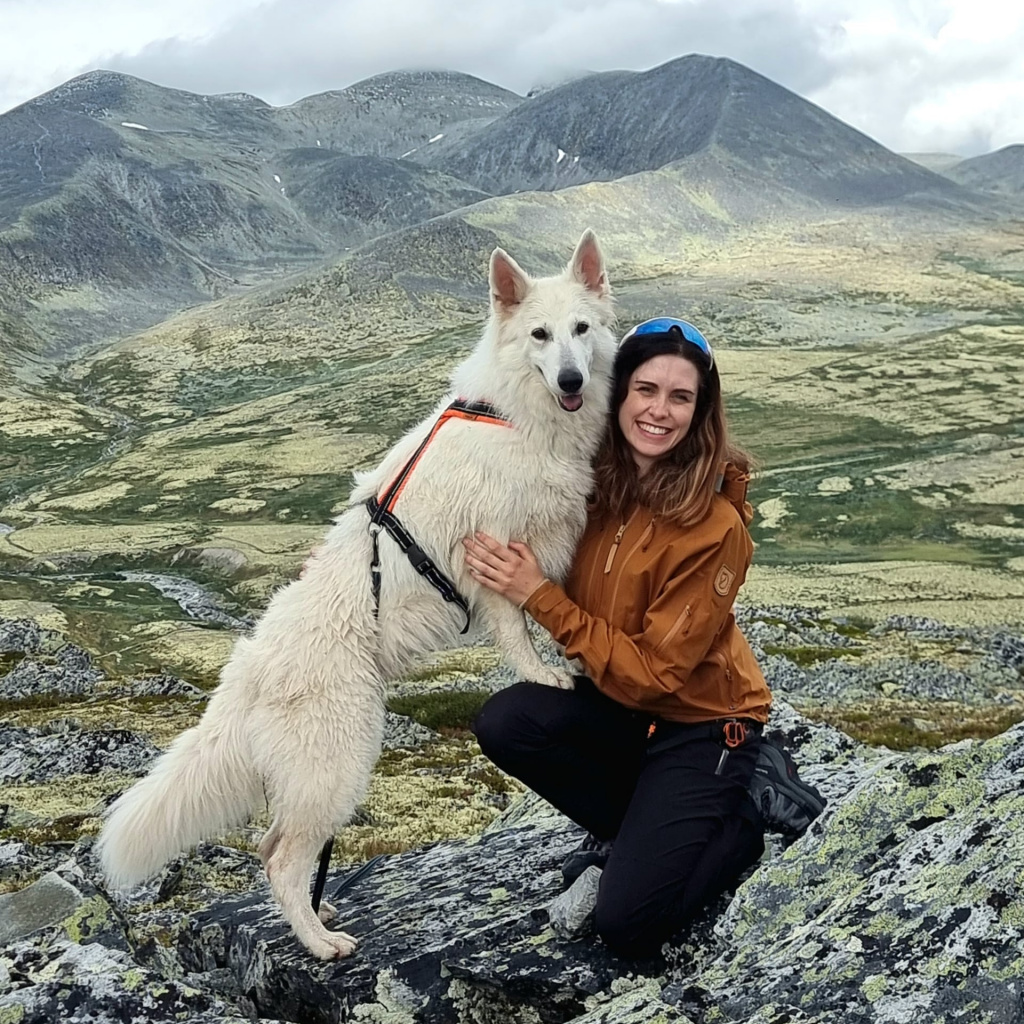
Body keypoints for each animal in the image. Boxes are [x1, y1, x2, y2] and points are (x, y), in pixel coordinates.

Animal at [97, 228, 614, 954]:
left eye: (581, 330)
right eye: (539, 335)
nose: (572, 380)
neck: (515, 415)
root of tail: (244, 675)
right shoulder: (497, 556)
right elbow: (518, 633)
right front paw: (546, 674)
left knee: (273, 847)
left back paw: (324, 914)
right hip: (339, 764)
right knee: (280, 859)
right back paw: (321, 943)